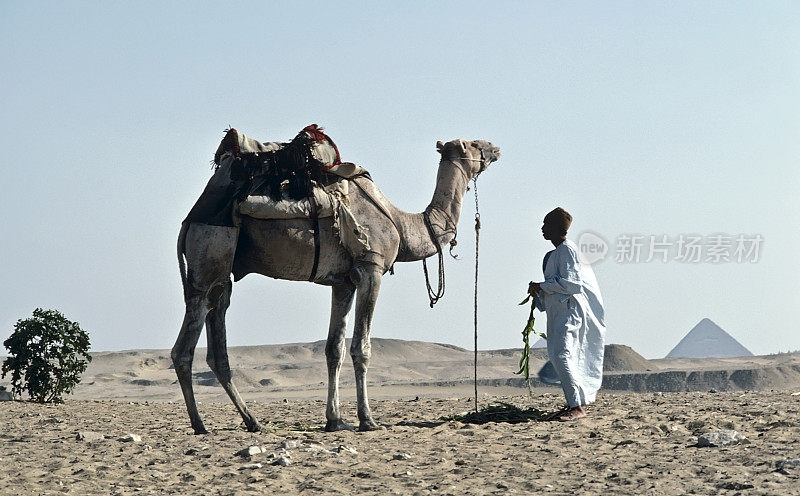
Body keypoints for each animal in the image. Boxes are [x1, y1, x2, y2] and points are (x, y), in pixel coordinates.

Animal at [173, 138, 500, 432]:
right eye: (472, 145)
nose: (494, 148)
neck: (401, 224)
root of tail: (188, 222)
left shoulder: (343, 282)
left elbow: (334, 349)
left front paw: (335, 420)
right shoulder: (371, 269)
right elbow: (361, 348)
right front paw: (367, 420)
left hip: (220, 274)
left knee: (217, 336)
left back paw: (251, 421)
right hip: (211, 251)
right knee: (185, 346)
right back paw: (200, 424)